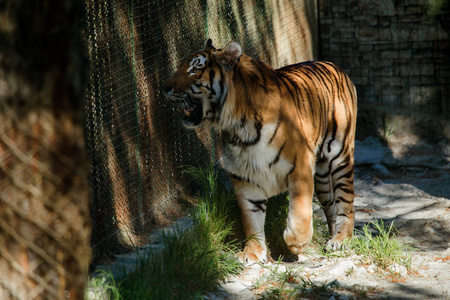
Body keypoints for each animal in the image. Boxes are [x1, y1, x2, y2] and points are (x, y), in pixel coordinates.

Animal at [163, 38, 356, 264]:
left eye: (195, 69)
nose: (164, 87)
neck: (238, 124)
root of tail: (333, 65)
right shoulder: (244, 177)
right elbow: (251, 217)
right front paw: (252, 252)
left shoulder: (300, 166)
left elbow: (300, 211)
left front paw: (296, 243)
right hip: (323, 177)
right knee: (330, 204)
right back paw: (333, 235)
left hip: (340, 156)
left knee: (346, 201)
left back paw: (341, 240)